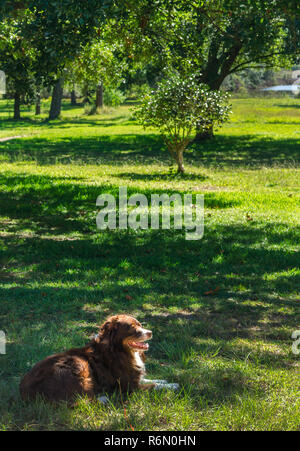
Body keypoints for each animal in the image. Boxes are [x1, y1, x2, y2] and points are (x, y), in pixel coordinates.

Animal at [19, 314, 178, 406]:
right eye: (132, 328)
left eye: (140, 324)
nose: (150, 332)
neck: (119, 350)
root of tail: (24, 391)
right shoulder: (129, 386)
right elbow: (153, 385)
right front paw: (174, 385)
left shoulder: (134, 376)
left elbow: (152, 379)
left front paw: (167, 381)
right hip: (77, 364)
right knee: (77, 400)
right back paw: (103, 399)